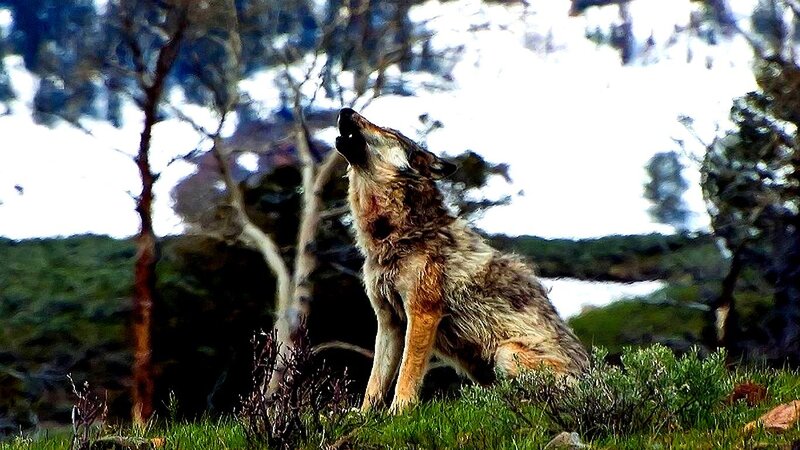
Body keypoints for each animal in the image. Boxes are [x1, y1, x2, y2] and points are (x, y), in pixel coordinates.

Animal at [335, 108, 589, 414]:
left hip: (506, 353)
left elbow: (407, 374)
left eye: (386, 130)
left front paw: (400, 412)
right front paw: (363, 416)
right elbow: (375, 383)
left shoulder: (423, 314)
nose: (345, 111)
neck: (396, 236)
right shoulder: (389, 322)